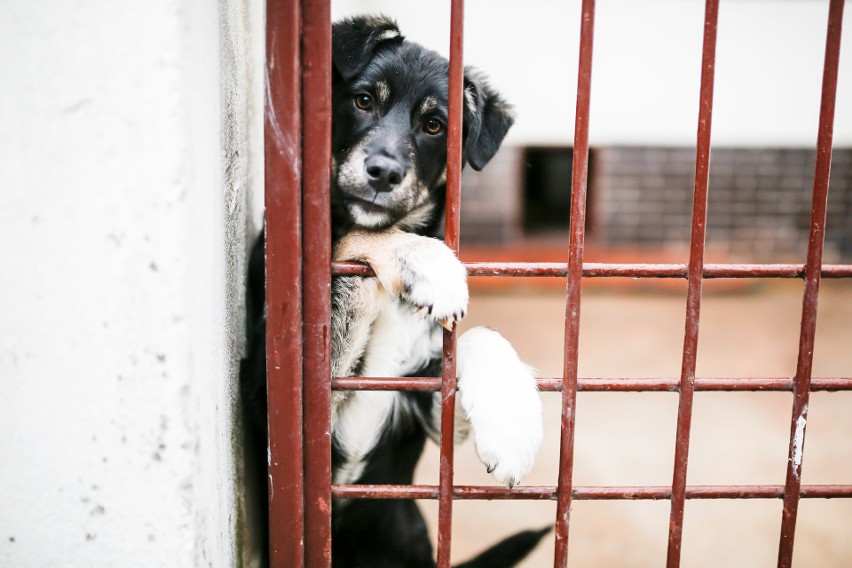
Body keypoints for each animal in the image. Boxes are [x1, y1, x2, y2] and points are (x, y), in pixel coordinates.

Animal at [241, 16, 544, 568]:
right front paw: (425, 260)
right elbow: (351, 236)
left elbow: (478, 334)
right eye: (363, 100)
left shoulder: (431, 414)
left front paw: (511, 425)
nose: (383, 172)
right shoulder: (285, 406)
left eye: (434, 126)